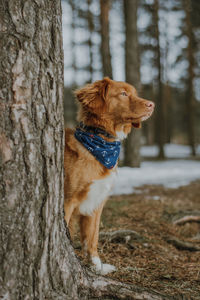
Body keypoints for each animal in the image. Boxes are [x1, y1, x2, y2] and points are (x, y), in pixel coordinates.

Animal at [64, 77, 155, 274]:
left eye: (134, 93)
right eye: (123, 94)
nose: (152, 104)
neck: (101, 144)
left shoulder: (97, 201)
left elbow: (92, 237)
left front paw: (97, 267)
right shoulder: (68, 201)